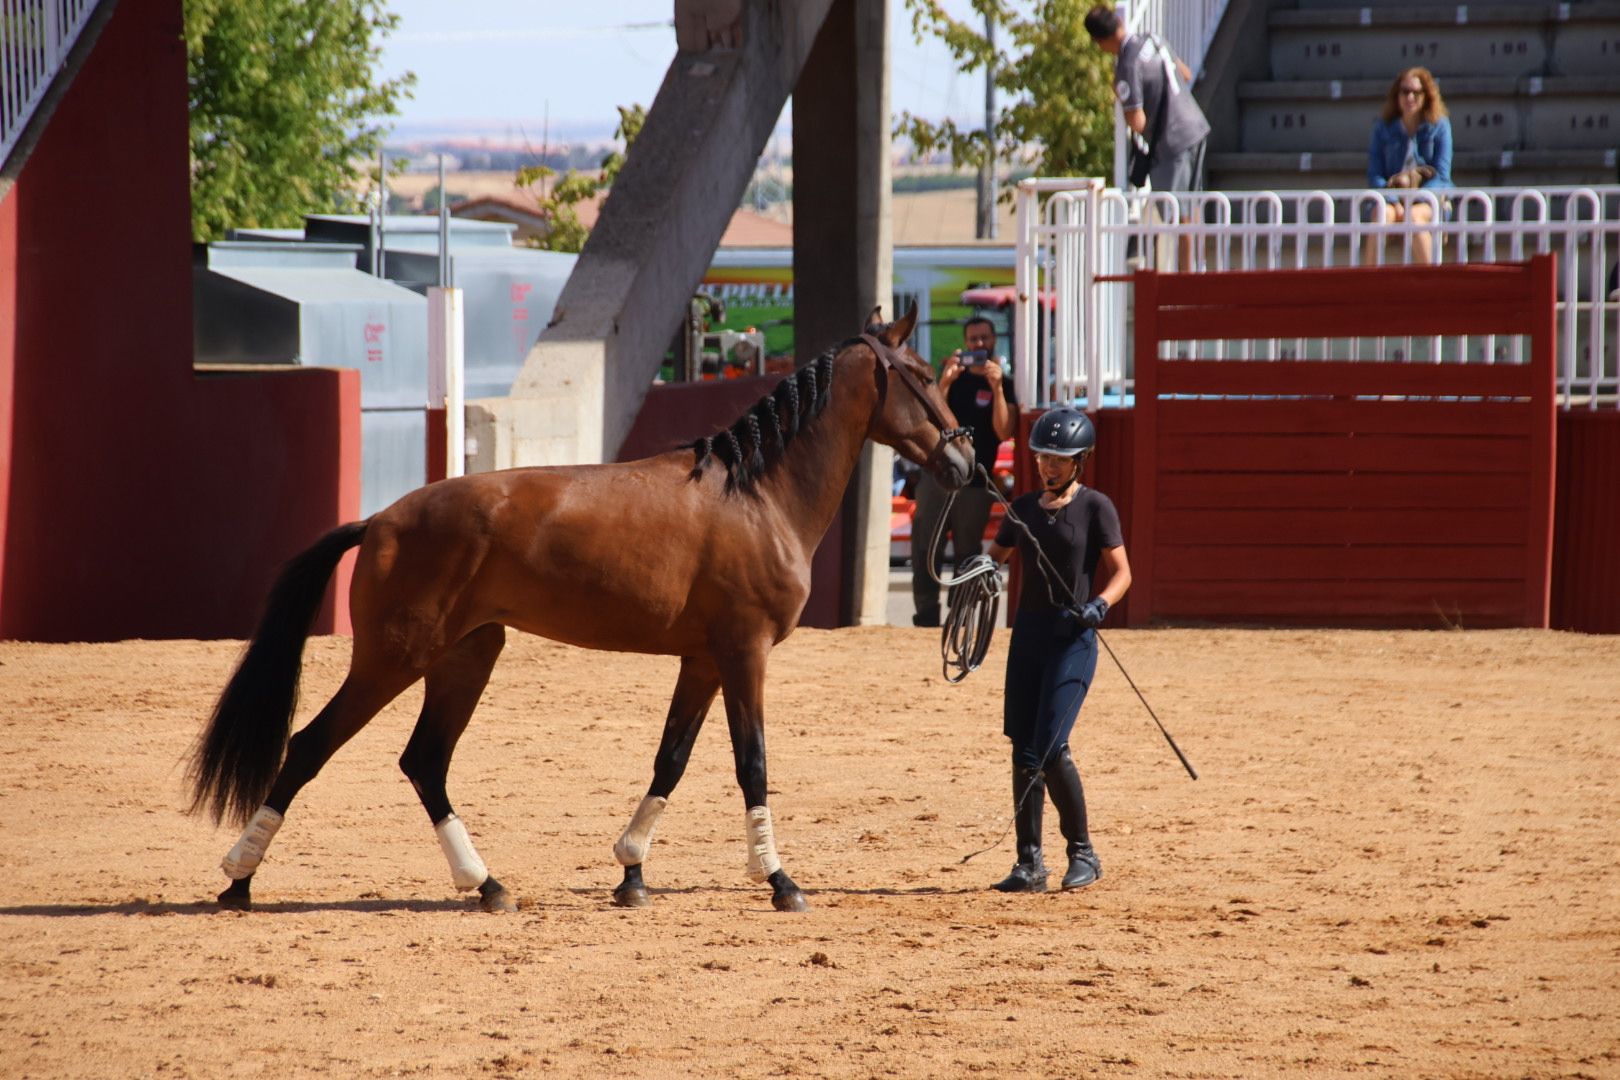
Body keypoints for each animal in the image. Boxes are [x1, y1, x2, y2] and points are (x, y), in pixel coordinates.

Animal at [189, 307, 972, 919]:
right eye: (925, 376)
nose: (965, 465)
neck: (756, 496)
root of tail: (379, 520)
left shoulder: (703, 660)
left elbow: (671, 760)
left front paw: (631, 873)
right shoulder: (744, 653)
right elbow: (751, 762)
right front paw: (779, 880)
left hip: (466, 657)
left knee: (425, 762)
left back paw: (486, 885)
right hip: (393, 660)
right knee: (309, 748)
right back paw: (239, 879)